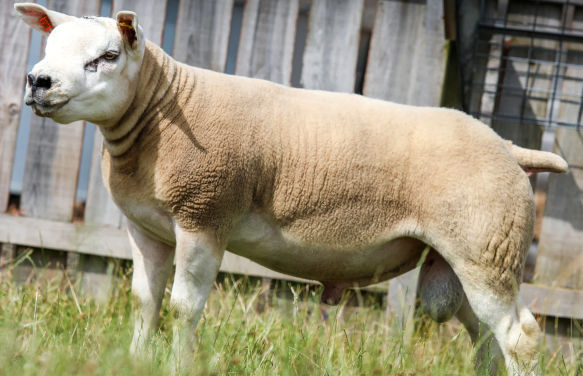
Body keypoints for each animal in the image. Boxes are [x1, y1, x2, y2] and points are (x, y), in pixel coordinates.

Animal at [14, 2, 572, 374]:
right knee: (487, 339)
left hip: (486, 248)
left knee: (520, 337)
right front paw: (134, 360)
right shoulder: (147, 229)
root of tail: (510, 148)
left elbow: (183, 308)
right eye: (48, 48)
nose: (38, 82)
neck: (161, 112)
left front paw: (175, 364)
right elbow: (144, 304)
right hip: (470, 256)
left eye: (108, 56)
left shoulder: (204, 218)